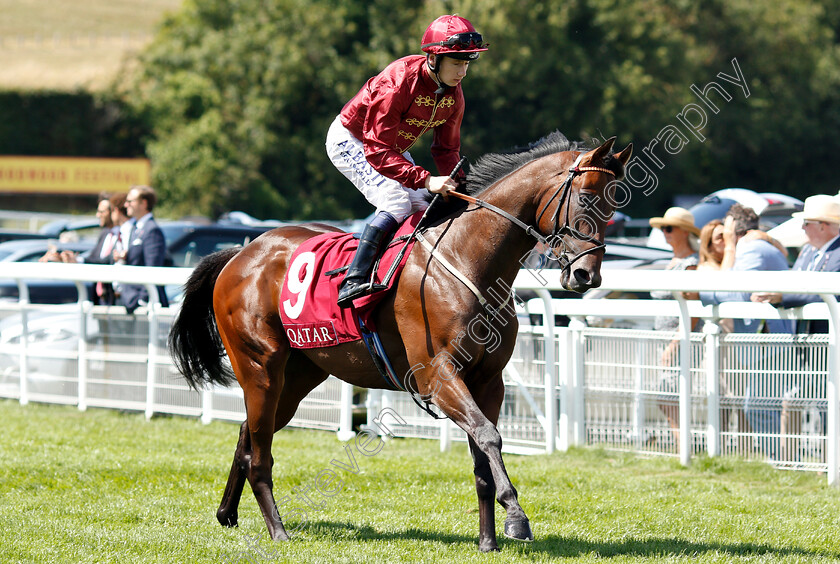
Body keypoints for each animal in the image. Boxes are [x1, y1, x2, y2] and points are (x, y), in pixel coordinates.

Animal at [171, 132, 632, 552]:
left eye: (615, 204)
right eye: (587, 199)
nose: (586, 276)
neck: (467, 259)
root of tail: (240, 254)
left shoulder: (488, 381)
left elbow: (483, 459)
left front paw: (488, 541)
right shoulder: (438, 376)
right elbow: (489, 437)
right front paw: (516, 517)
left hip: (301, 374)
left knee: (248, 434)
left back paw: (227, 513)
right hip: (260, 368)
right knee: (261, 454)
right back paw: (278, 531)